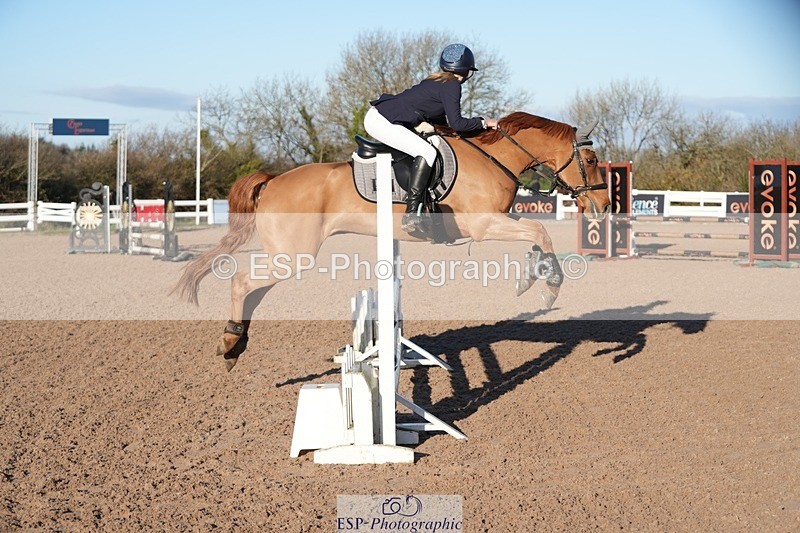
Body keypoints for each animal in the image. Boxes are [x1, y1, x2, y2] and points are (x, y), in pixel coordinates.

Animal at [174, 112, 611, 371]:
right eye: (590, 161)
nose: (604, 205)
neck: (494, 158)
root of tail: (273, 181)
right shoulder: (484, 225)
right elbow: (540, 231)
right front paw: (548, 287)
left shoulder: (499, 220)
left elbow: (537, 234)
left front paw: (531, 276)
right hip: (293, 255)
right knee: (242, 282)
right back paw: (230, 342)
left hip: (285, 255)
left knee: (253, 290)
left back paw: (236, 343)